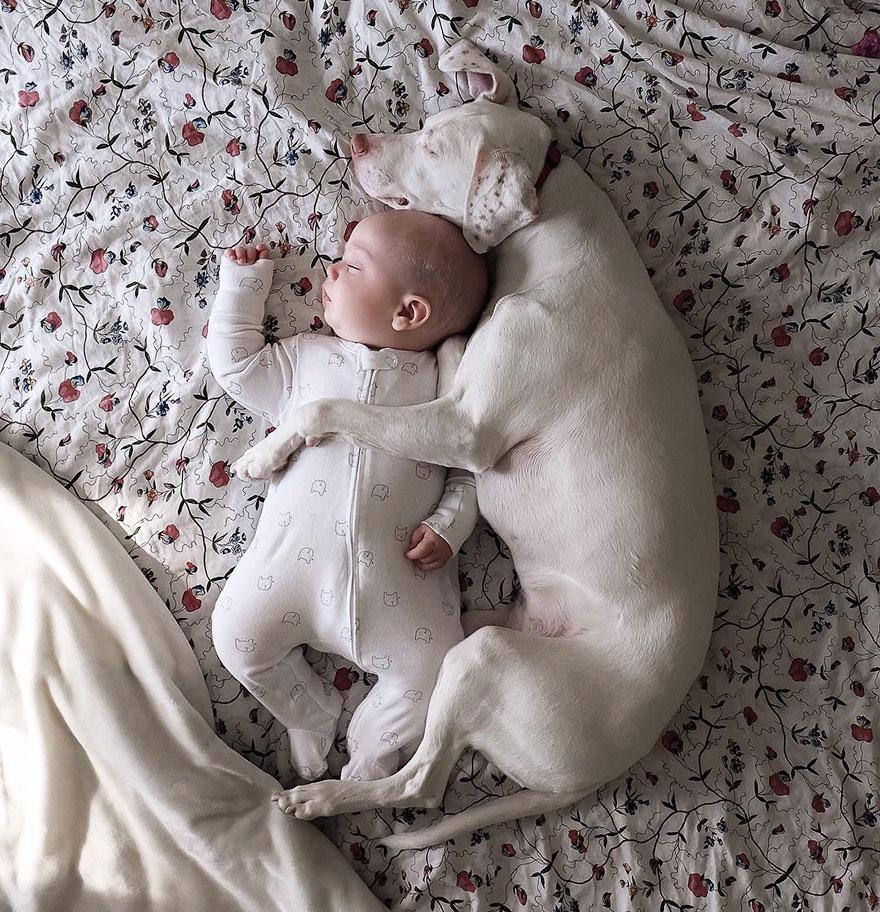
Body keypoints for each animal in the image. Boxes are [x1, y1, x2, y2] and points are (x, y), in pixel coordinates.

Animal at [234, 39, 720, 852]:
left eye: (433, 149)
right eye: (428, 121)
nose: (358, 141)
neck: (555, 225)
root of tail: (602, 771)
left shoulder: (464, 427)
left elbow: (336, 405)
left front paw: (267, 453)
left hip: (483, 662)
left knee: (420, 786)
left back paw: (325, 797)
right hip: (484, 637)